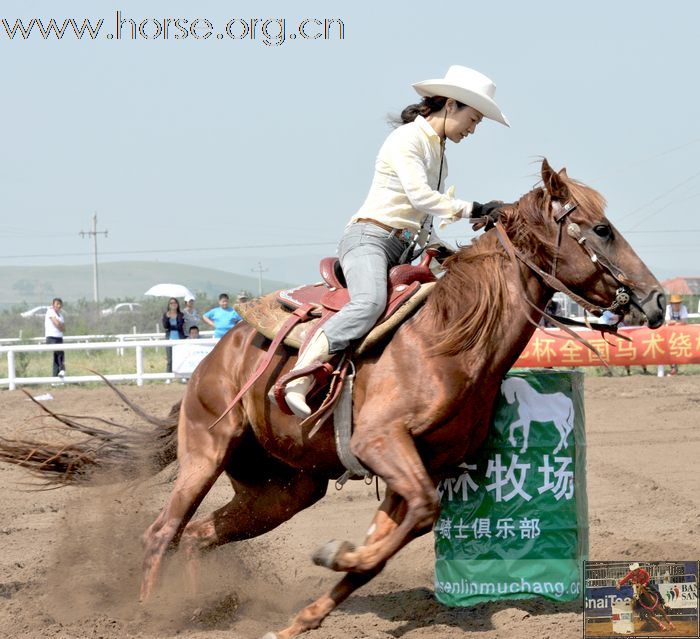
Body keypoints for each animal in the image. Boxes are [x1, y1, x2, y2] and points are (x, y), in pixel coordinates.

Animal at [1, 160, 668, 639]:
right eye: (601, 229)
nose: (658, 299)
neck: (449, 335)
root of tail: (214, 359)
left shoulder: (423, 467)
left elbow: (394, 538)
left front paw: (309, 608)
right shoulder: (382, 443)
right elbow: (410, 522)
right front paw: (334, 558)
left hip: (283, 489)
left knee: (199, 535)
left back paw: (199, 610)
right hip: (206, 451)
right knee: (163, 532)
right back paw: (145, 617)